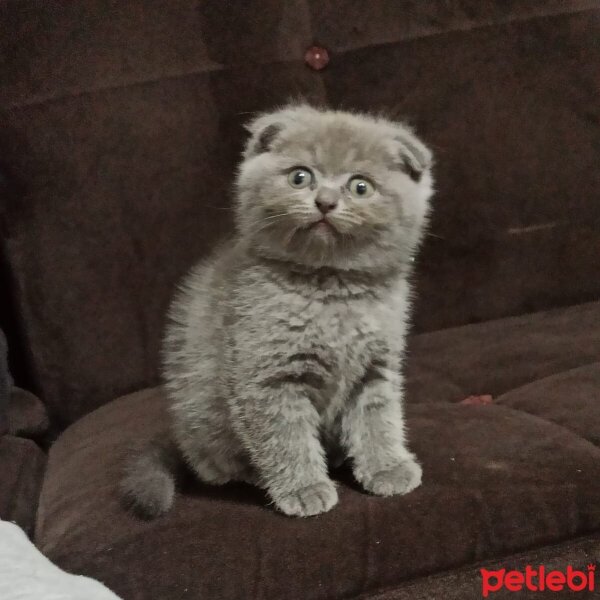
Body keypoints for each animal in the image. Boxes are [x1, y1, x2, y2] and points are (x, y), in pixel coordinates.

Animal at [120, 105, 432, 516]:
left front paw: (387, 468)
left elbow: (378, 419)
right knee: (215, 466)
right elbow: (284, 435)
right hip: (202, 416)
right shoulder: (268, 376)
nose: (325, 201)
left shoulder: (376, 367)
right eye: (300, 177)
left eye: (360, 186)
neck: (331, 291)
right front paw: (304, 488)